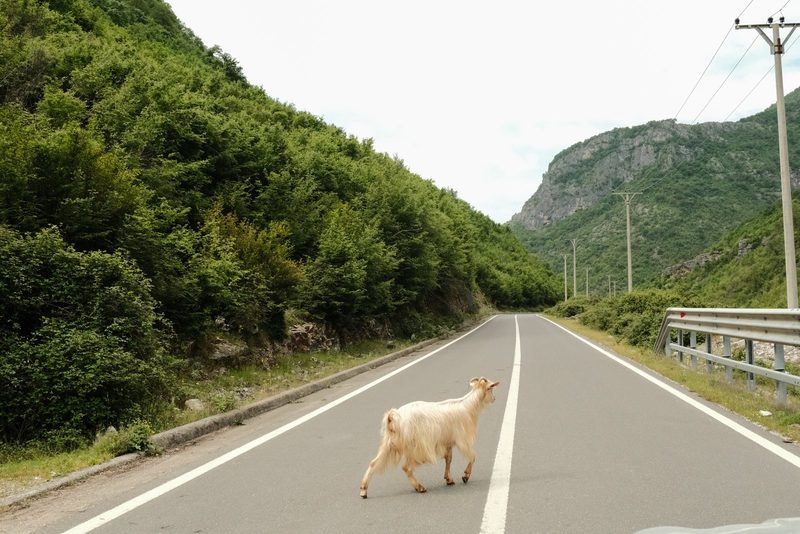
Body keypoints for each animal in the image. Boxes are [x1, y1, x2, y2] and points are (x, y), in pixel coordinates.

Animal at [359, 376, 499, 498]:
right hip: (415, 447)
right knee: (406, 467)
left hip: (389, 444)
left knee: (373, 463)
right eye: (491, 388)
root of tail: (393, 418)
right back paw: (420, 487)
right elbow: (472, 456)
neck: (468, 407)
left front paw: (449, 479)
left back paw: (363, 490)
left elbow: (449, 459)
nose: (494, 399)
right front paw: (465, 476)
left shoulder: (447, 441)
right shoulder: (462, 440)